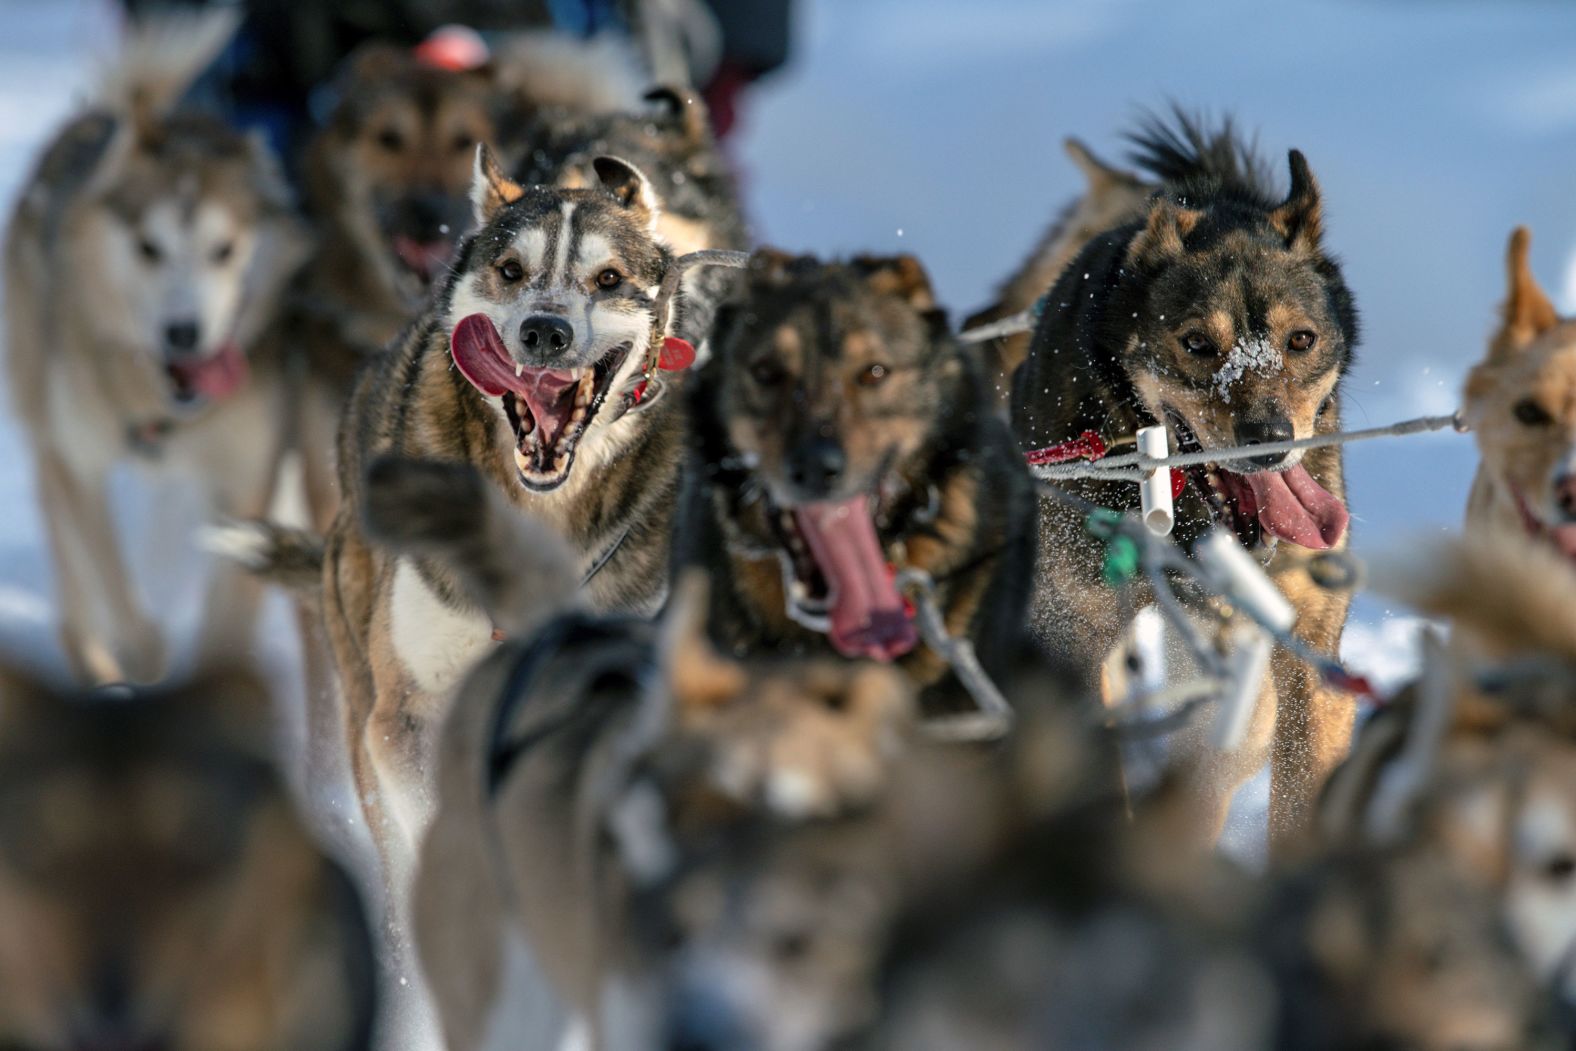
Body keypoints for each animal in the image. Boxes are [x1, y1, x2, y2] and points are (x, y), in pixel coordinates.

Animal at [5, 12, 307, 687]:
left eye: (225, 250)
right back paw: (93, 664)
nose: (183, 333)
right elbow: (114, 586)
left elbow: (228, 619)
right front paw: (143, 665)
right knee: (72, 567)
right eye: (148, 248)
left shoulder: (248, 475)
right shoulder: (78, 461)